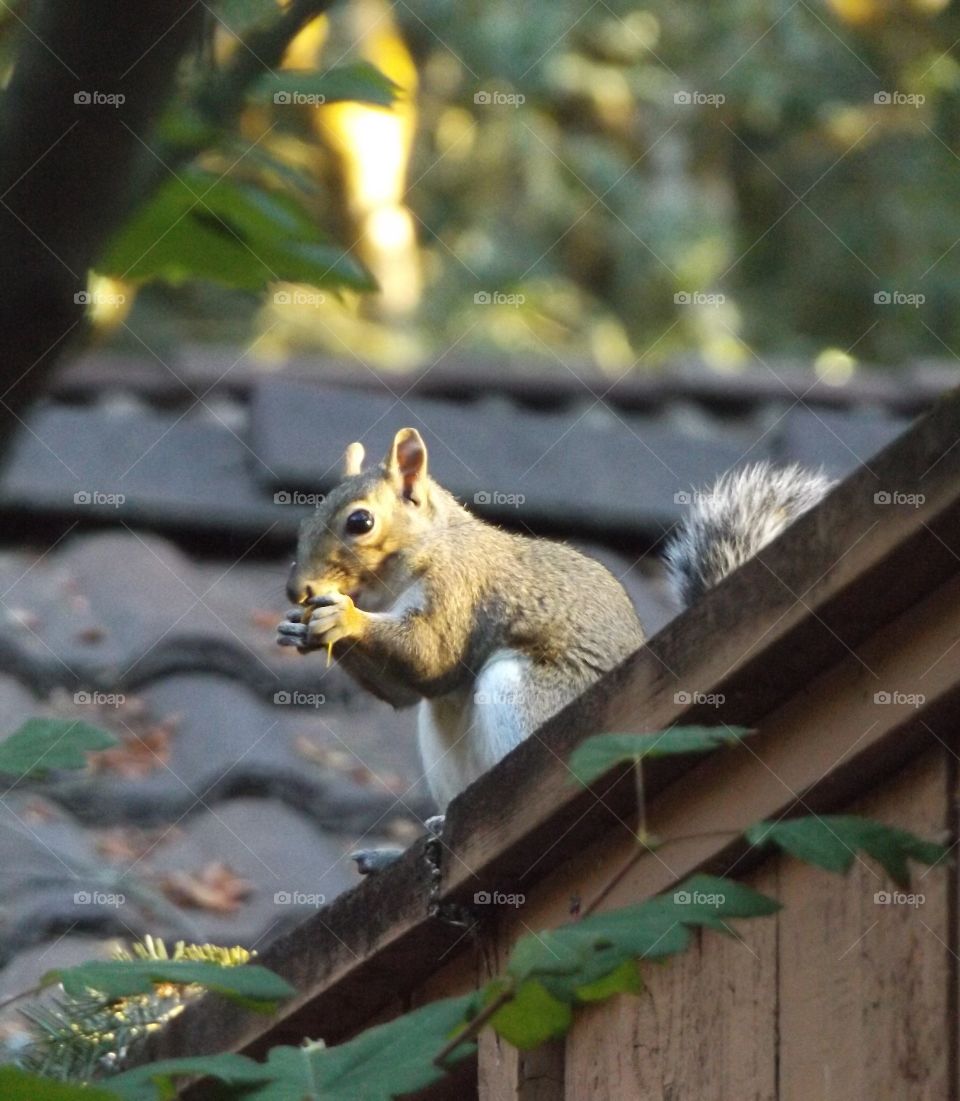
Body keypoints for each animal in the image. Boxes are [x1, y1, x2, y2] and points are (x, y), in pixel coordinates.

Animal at [277, 428, 832, 866]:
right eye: (303, 523)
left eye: (360, 522)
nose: (297, 590)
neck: (429, 548)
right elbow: (406, 693)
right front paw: (300, 630)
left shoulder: (461, 588)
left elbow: (432, 656)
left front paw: (344, 617)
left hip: (530, 698)